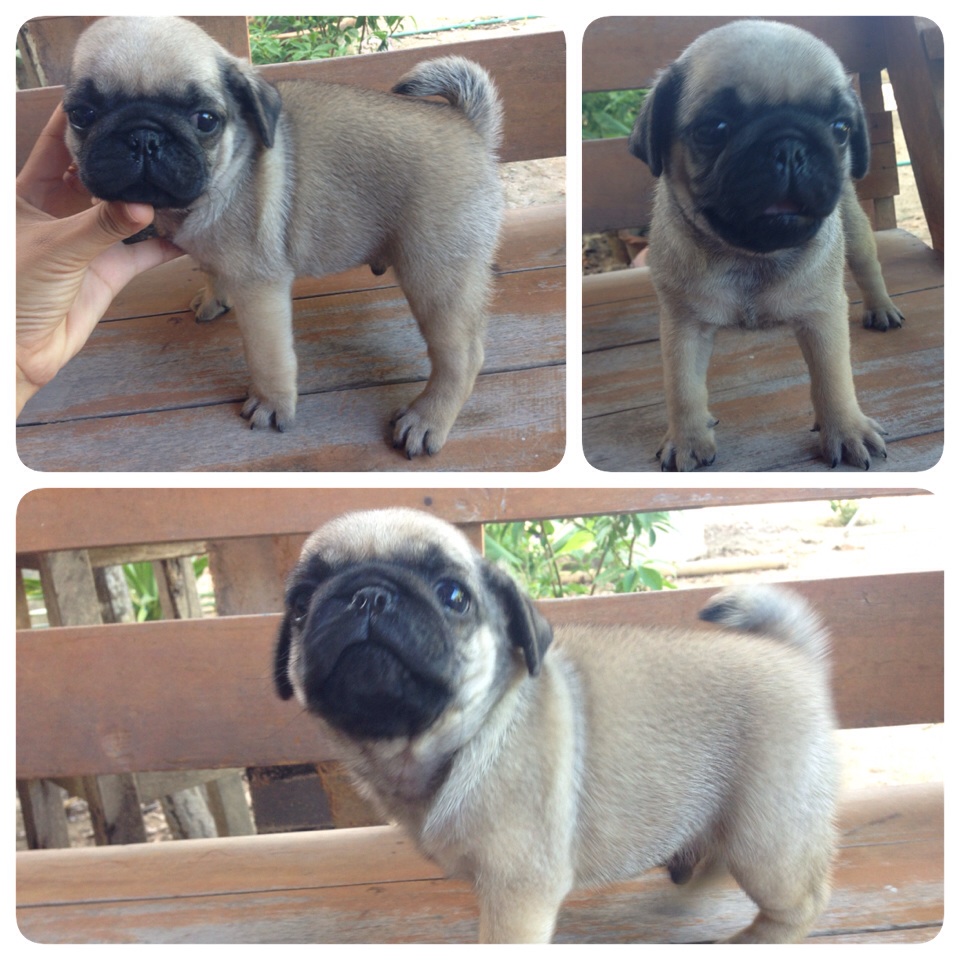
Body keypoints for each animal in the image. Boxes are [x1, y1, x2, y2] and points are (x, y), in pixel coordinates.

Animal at [63, 16, 504, 457]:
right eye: (81, 114)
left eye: (205, 120)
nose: (144, 137)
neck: (229, 169)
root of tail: (470, 126)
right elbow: (211, 269)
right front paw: (213, 296)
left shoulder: (260, 289)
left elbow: (268, 357)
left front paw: (271, 403)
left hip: (436, 276)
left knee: (463, 356)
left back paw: (427, 419)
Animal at [274, 508, 838, 942]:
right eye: (301, 604)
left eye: (453, 596)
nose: (369, 595)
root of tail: (792, 655)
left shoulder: (517, 893)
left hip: (766, 837)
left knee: (802, 903)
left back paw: (756, 939)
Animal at [628, 19, 902, 471]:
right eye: (714, 129)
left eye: (841, 128)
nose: (789, 146)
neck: (750, 256)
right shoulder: (683, 325)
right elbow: (683, 387)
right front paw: (688, 438)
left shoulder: (823, 316)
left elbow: (833, 379)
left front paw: (845, 429)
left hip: (856, 232)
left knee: (868, 267)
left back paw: (881, 308)